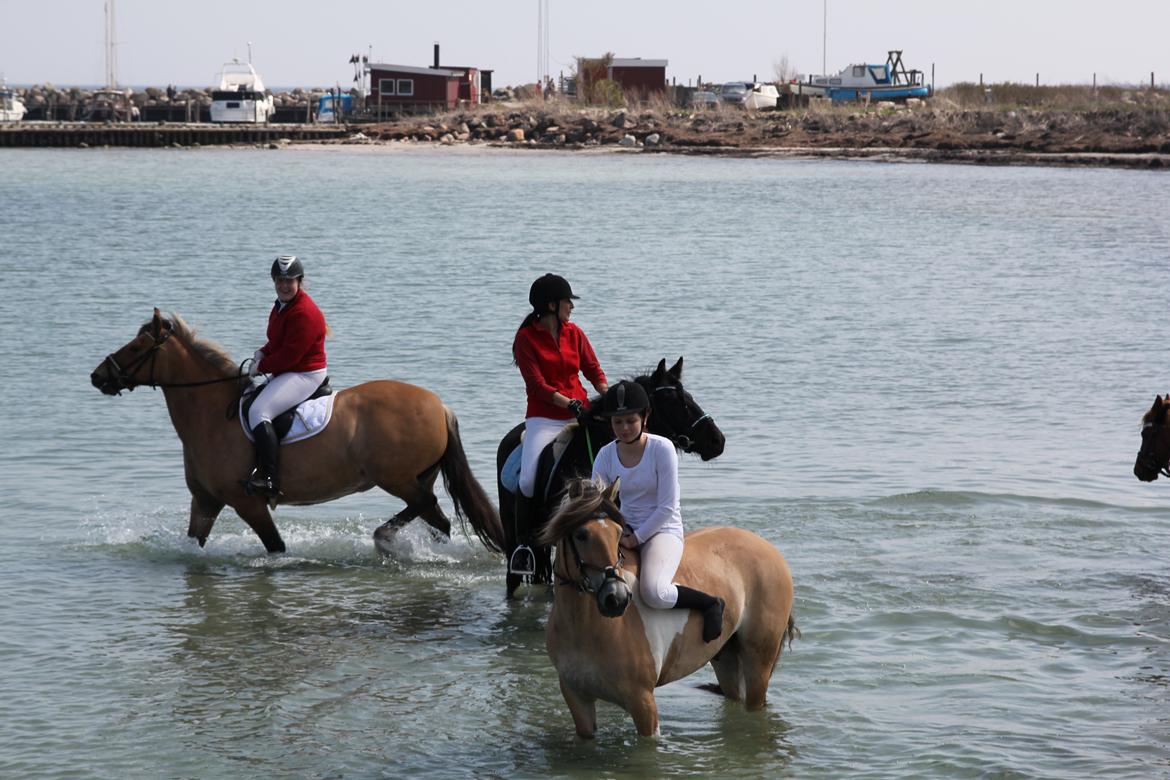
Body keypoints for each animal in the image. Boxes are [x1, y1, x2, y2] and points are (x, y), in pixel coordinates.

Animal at [90, 308, 503, 558]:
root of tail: (439, 405)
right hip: (417, 476)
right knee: (437, 519)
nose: (98, 376)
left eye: (137, 347)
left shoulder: (247, 504)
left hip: (398, 478)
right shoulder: (204, 501)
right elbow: (196, 542)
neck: (211, 416)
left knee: (428, 507)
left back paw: (385, 540)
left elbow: (275, 546)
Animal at [535, 477, 795, 739]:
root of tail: (768, 548)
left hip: (759, 661)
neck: (587, 627)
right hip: (727, 657)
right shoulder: (576, 698)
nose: (616, 598)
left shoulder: (643, 702)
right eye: (581, 535)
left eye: (618, 533)